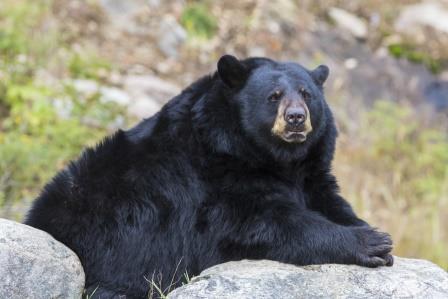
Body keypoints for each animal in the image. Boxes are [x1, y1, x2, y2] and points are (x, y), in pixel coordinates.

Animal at [26, 55, 394, 298]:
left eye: (307, 94)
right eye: (273, 96)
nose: (295, 118)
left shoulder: (311, 170)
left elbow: (329, 199)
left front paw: (369, 230)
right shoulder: (211, 182)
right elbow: (265, 224)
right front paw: (371, 243)